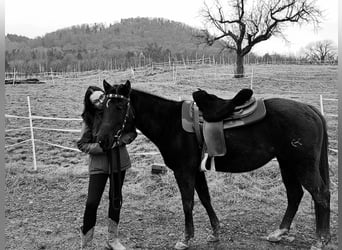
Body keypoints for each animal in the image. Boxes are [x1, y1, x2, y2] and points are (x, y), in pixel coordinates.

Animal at [97, 80, 330, 250]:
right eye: (102, 108)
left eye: (120, 106)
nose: (102, 140)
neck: (170, 123)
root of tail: (311, 110)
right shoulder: (196, 172)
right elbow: (205, 199)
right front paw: (215, 232)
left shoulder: (184, 172)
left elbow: (188, 203)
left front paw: (186, 238)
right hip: (287, 164)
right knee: (295, 195)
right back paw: (280, 233)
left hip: (302, 165)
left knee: (320, 194)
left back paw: (321, 240)